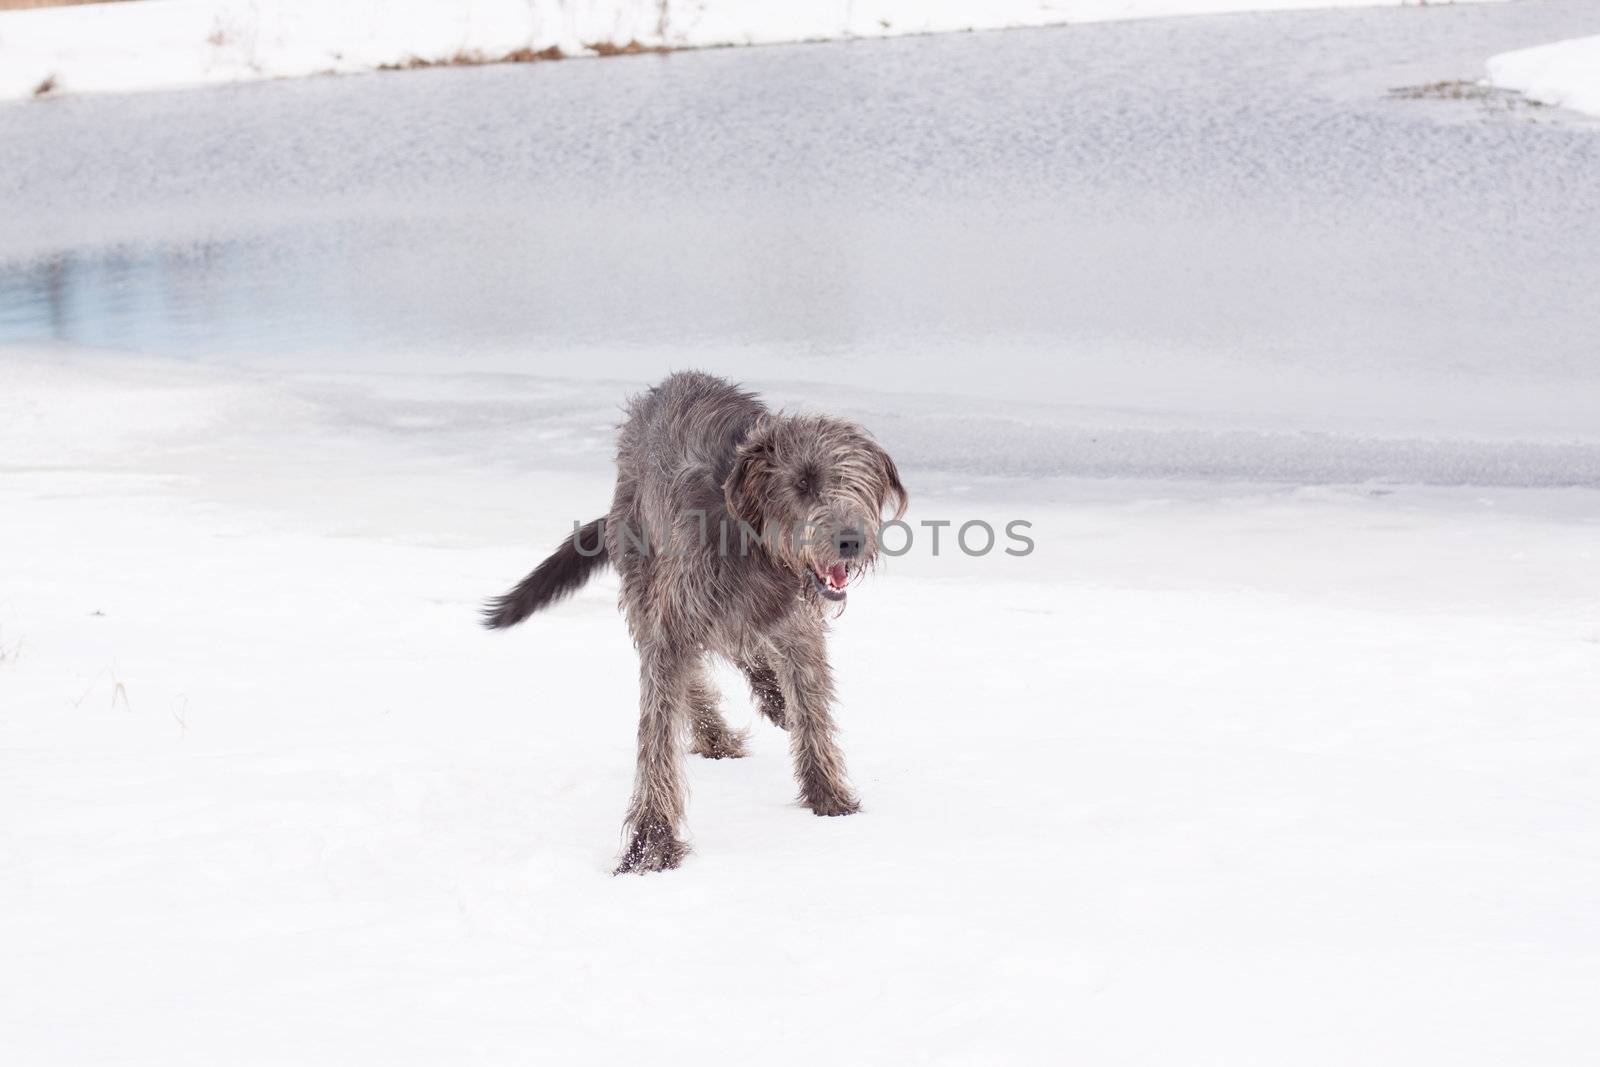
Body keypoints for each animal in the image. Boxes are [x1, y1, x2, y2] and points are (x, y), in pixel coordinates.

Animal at [480, 371, 908, 870]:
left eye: (862, 481)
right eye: (803, 481)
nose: (851, 541)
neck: (753, 542)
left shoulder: (796, 622)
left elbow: (810, 706)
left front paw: (827, 794)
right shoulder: (678, 614)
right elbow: (658, 729)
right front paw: (653, 841)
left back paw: (769, 696)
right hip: (645, 573)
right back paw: (716, 733)